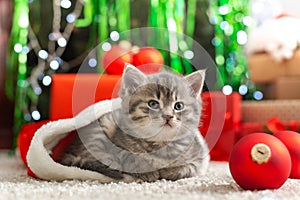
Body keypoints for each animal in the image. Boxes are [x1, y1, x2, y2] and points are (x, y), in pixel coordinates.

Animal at [58, 64, 209, 183]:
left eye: (178, 106)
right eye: (153, 104)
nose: (168, 116)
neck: (160, 144)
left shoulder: (200, 157)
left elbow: (189, 169)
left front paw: (169, 171)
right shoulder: (118, 144)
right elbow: (131, 158)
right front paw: (149, 171)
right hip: (102, 126)